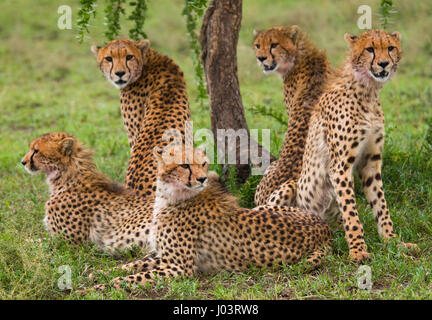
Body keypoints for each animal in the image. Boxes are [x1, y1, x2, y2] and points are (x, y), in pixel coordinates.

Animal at [88, 146, 330, 292]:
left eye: (203, 163)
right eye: (184, 165)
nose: (203, 178)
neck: (170, 197)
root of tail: (324, 227)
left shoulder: (178, 268)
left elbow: (132, 278)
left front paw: (101, 286)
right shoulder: (163, 257)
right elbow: (133, 264)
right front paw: (99, 273)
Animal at [296, 28, 416, 262]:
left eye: (390, 48)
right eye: (369, 49)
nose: (383, 64)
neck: (368, 91)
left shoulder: (371, 161)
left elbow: (381, 204)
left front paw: (392, 241)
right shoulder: (340, 166)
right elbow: (351, 210)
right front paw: (358, 250)